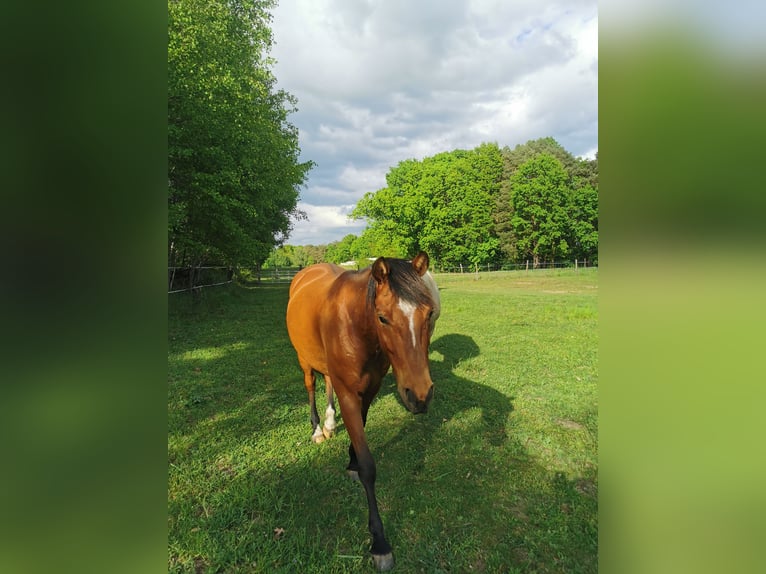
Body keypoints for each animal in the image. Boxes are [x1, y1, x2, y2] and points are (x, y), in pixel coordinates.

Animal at [285, 252, 439, 571]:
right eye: (382, 317)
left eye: (429, 313)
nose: (420, 396)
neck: (355, 325)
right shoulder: (348, 392)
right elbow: (369, 467)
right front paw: (379, 543)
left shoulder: (370, 388)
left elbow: (361, 430)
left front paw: (351, 460)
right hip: (304, 361)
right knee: (311, 385)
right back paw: (317, 429)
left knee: (326, 381)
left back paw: (330, 423)